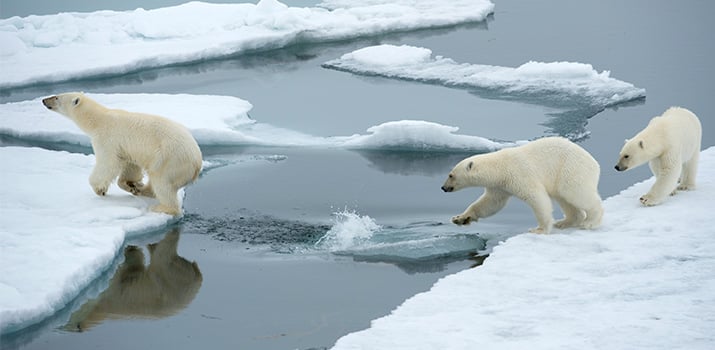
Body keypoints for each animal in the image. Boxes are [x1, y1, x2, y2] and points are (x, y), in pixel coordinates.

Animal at [42, 91, 201, 215]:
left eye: (57, 97)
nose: (44, 100)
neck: (99, 119)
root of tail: (197, 163)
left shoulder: (107, 139)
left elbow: (108, 164)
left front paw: (99, 189)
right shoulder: (126, 147)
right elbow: (130, 165)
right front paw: (130, 184)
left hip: (170, 159)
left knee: (162, 182)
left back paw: (161, 207)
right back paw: (141, 189)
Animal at [442, 137, 604, 235]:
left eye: (451, 175)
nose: (443, 188)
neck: (500, 167)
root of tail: (595, 163)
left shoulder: (519, 175)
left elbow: (537, 198)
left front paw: (539, 229)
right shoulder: (500, 186)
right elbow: (490, 203)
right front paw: (460, 218)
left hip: (571, 169)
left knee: (576, 193)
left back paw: (590, 222)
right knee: (564, 199)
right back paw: (564, 222)